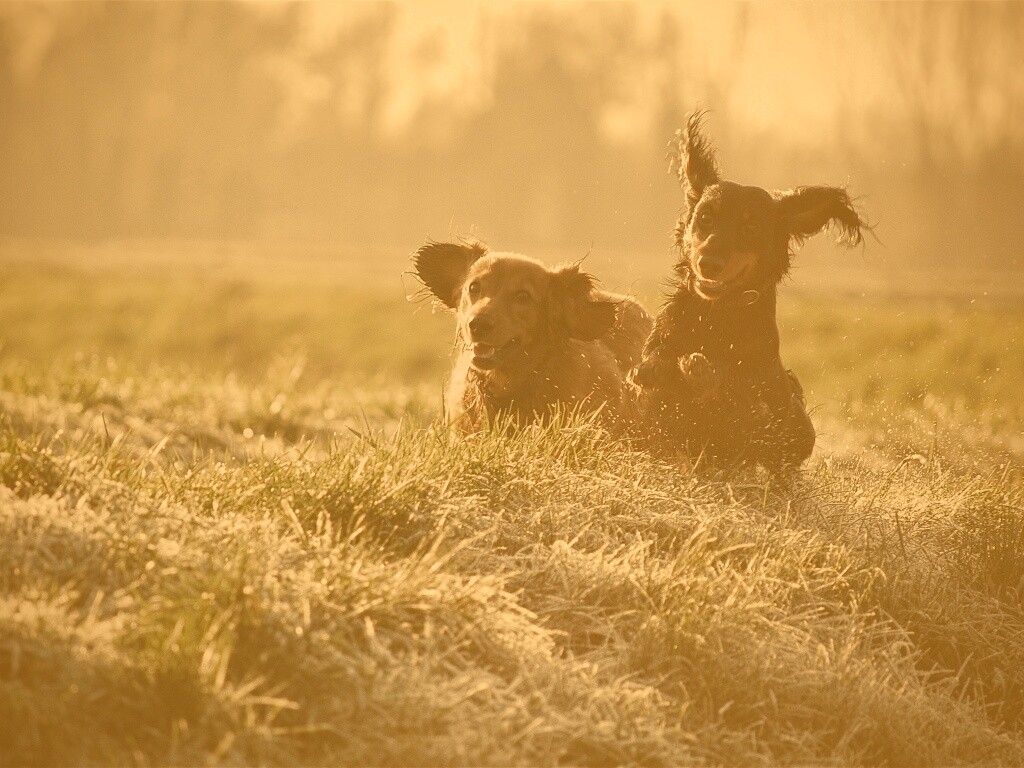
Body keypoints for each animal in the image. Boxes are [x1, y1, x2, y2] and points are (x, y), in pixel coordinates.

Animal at [634, 112, 868, 475]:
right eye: (705, 216)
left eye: (751, 227)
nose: (709, 264)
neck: (717, 315)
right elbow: (659, 364)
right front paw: (657, 368)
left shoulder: (756, 410)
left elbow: (735, 399)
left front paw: (701, 373)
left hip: (798, 429)